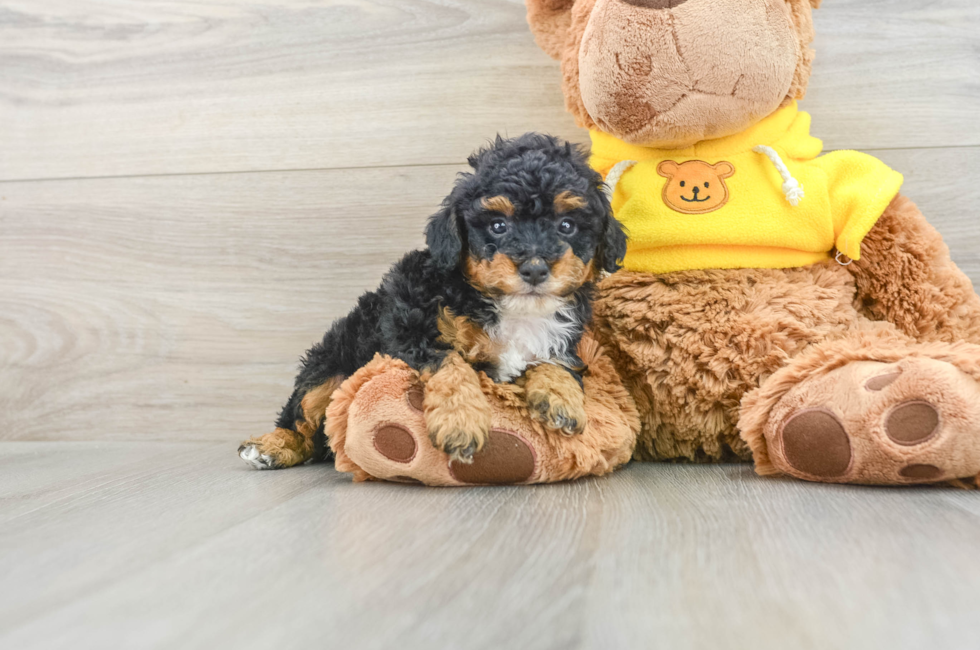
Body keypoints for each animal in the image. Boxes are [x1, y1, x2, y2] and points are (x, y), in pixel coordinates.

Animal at [237, 133, 628, 466]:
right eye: (498, 226)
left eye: (567, 226)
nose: (534, 268)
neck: (514, 308)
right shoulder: (408, 320)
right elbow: (449, 362)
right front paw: (461, 422)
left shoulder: (564, 340)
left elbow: (555, 361)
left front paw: (562, 400)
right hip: (328, 365)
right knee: (303, 417)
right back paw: (271, 446)